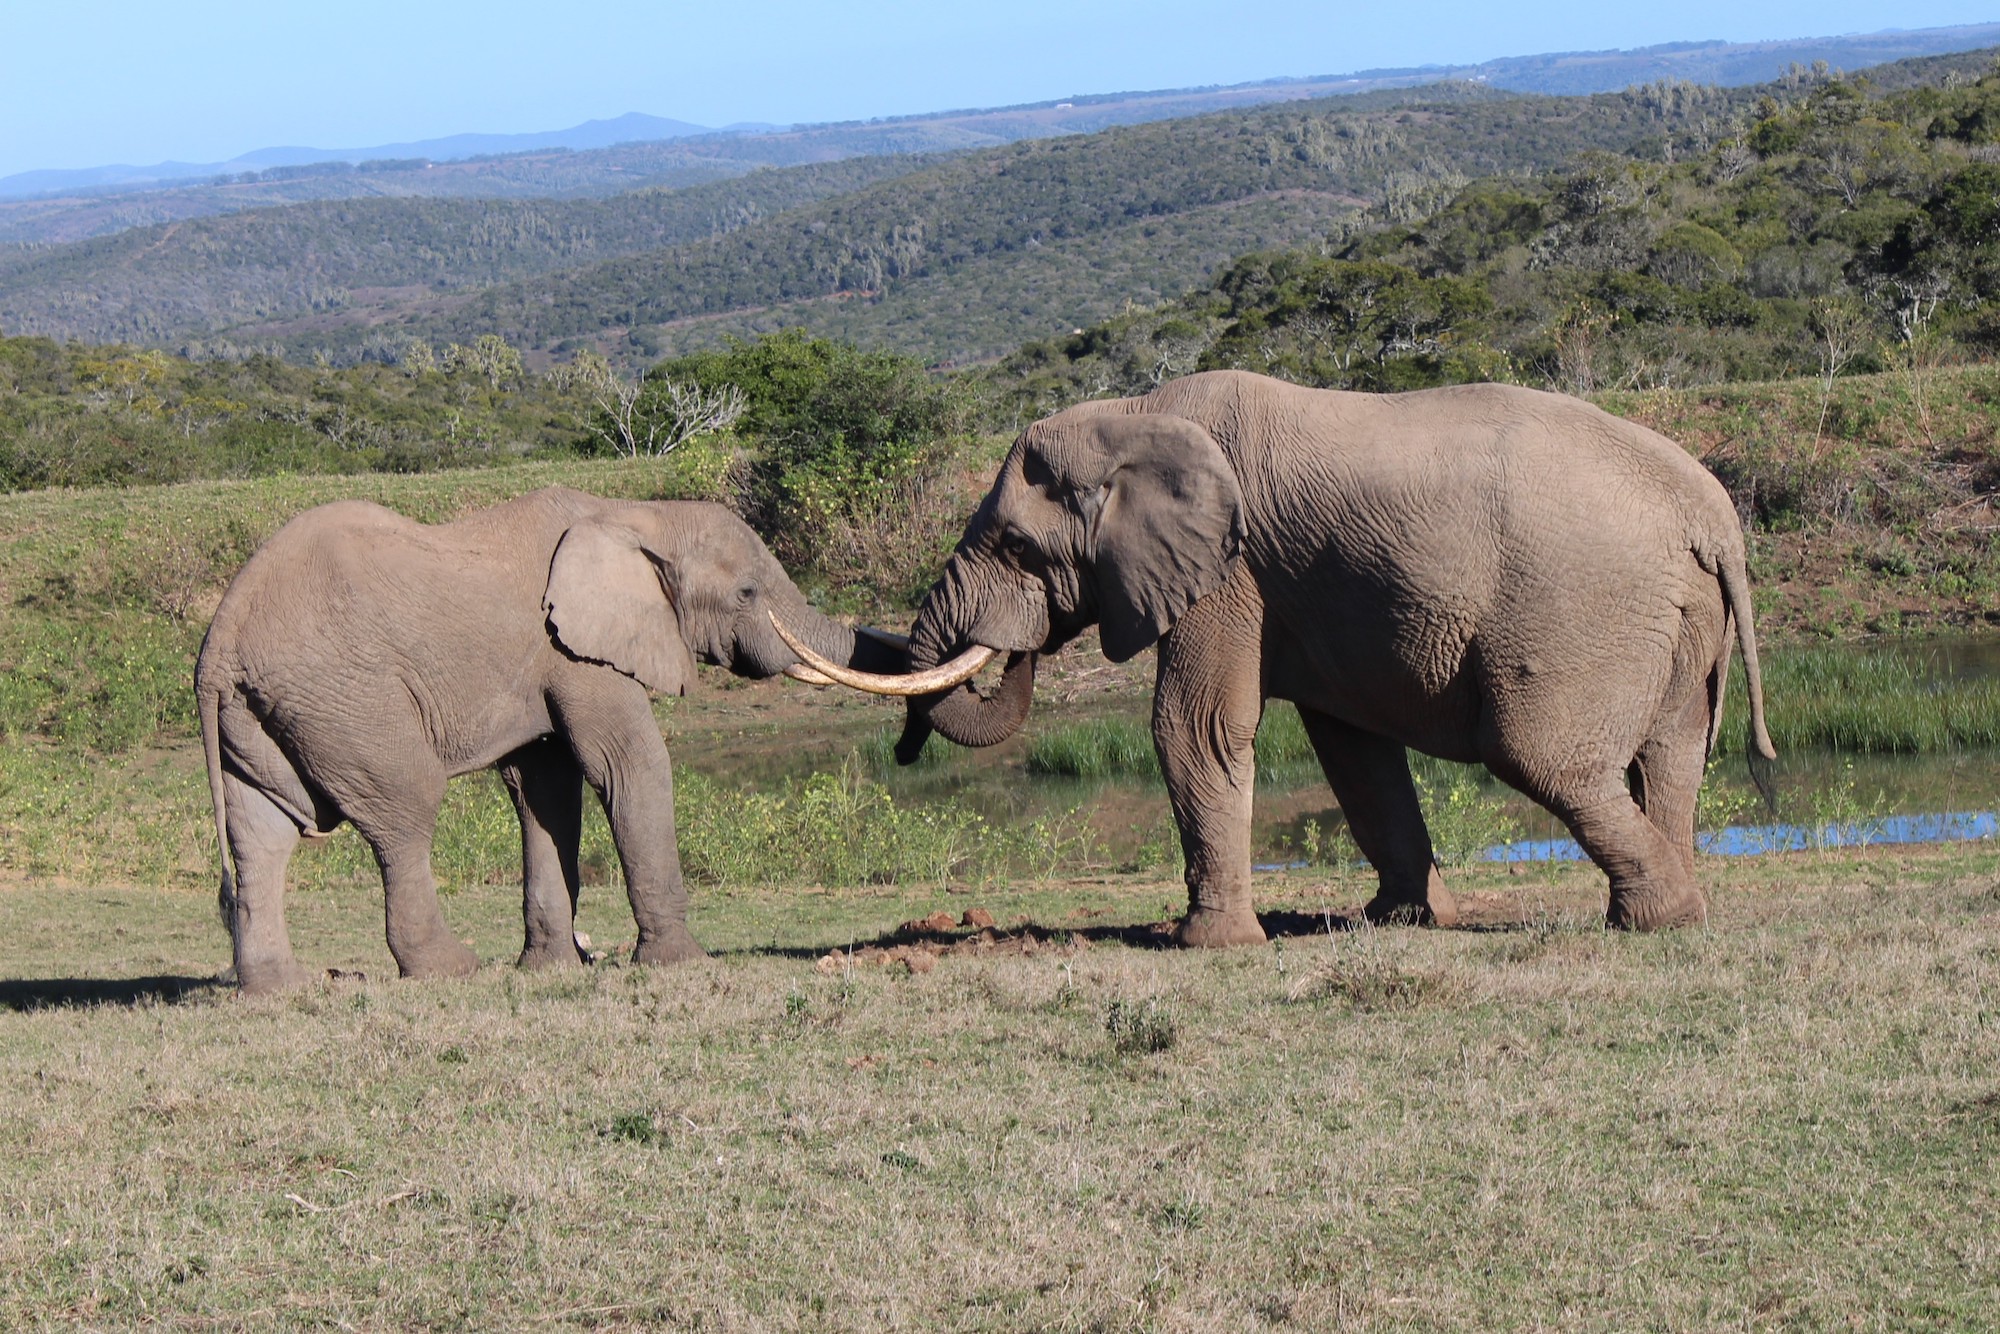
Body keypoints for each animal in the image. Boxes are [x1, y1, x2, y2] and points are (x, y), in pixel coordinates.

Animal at [195, 486, 977, 994]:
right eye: (748, 593)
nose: (906, 749)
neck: (634, 513)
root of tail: (221, 639)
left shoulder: (552, 660)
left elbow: (546, 788)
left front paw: (550, 969)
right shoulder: (577, 650)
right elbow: (627, 764)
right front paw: (680, 964)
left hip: (267, 713)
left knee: (264, 833)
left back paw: (282, 989)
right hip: (347, 700)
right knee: (403, 814)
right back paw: (450, 970)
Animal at [794, 370, 1776, 942]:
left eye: (1015, 547)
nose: (903, 751)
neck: (1135, 416)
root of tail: (1711, 515)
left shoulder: (1231, 571)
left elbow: (1193, 729)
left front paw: (1208, 944)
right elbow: (1351, 750)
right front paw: (1396, 922)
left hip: (1581, 607)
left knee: (1542, 756)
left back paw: (1661, 920)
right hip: (1677, 622)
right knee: (1671, 760)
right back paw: (1664, 912)